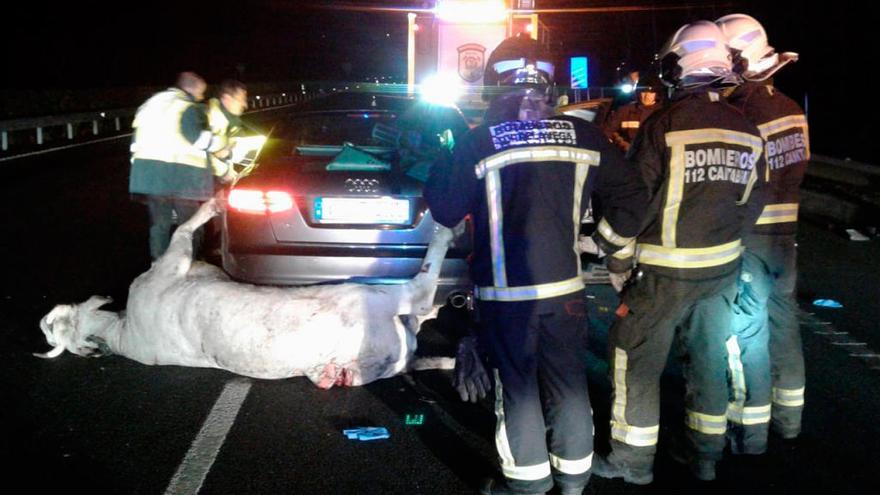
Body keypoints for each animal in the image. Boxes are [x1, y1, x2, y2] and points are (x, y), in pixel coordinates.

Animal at [34, 200, 460, 390]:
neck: (120, 332)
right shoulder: (171, 263)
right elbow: (183, 230)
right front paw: (213, 204)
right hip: (379, 297)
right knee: (424, 289)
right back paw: (447, 231)